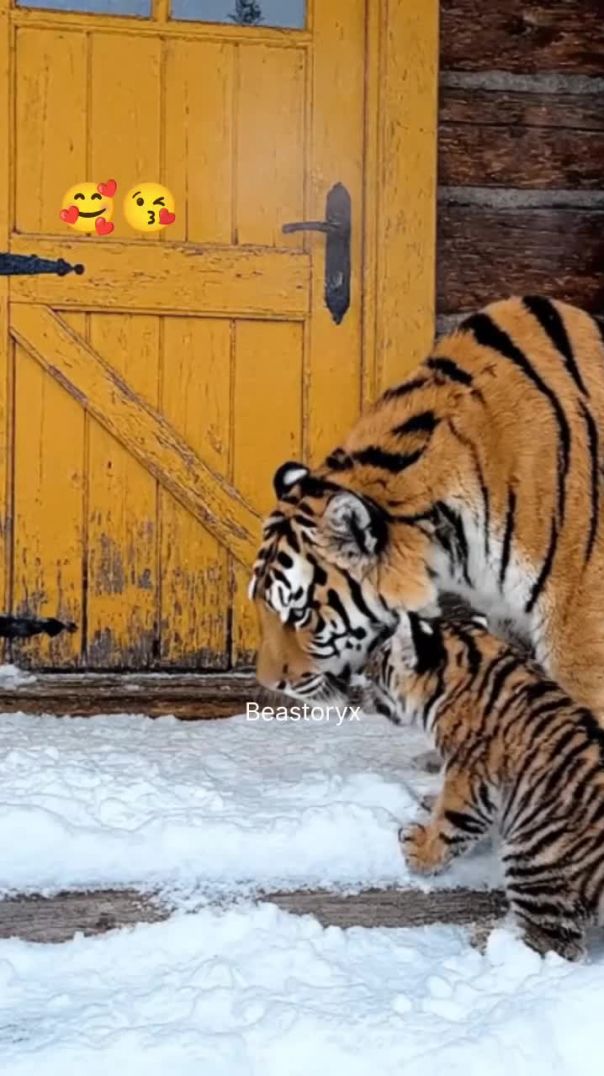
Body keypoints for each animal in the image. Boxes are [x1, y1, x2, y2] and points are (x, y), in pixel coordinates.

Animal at [364, 609, 604, 962]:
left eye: (378, 664)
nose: (359, 677)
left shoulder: (468, 776)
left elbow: (449, 823)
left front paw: (418, 851)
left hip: (532, 857)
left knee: (554, 943)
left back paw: (487, 939)